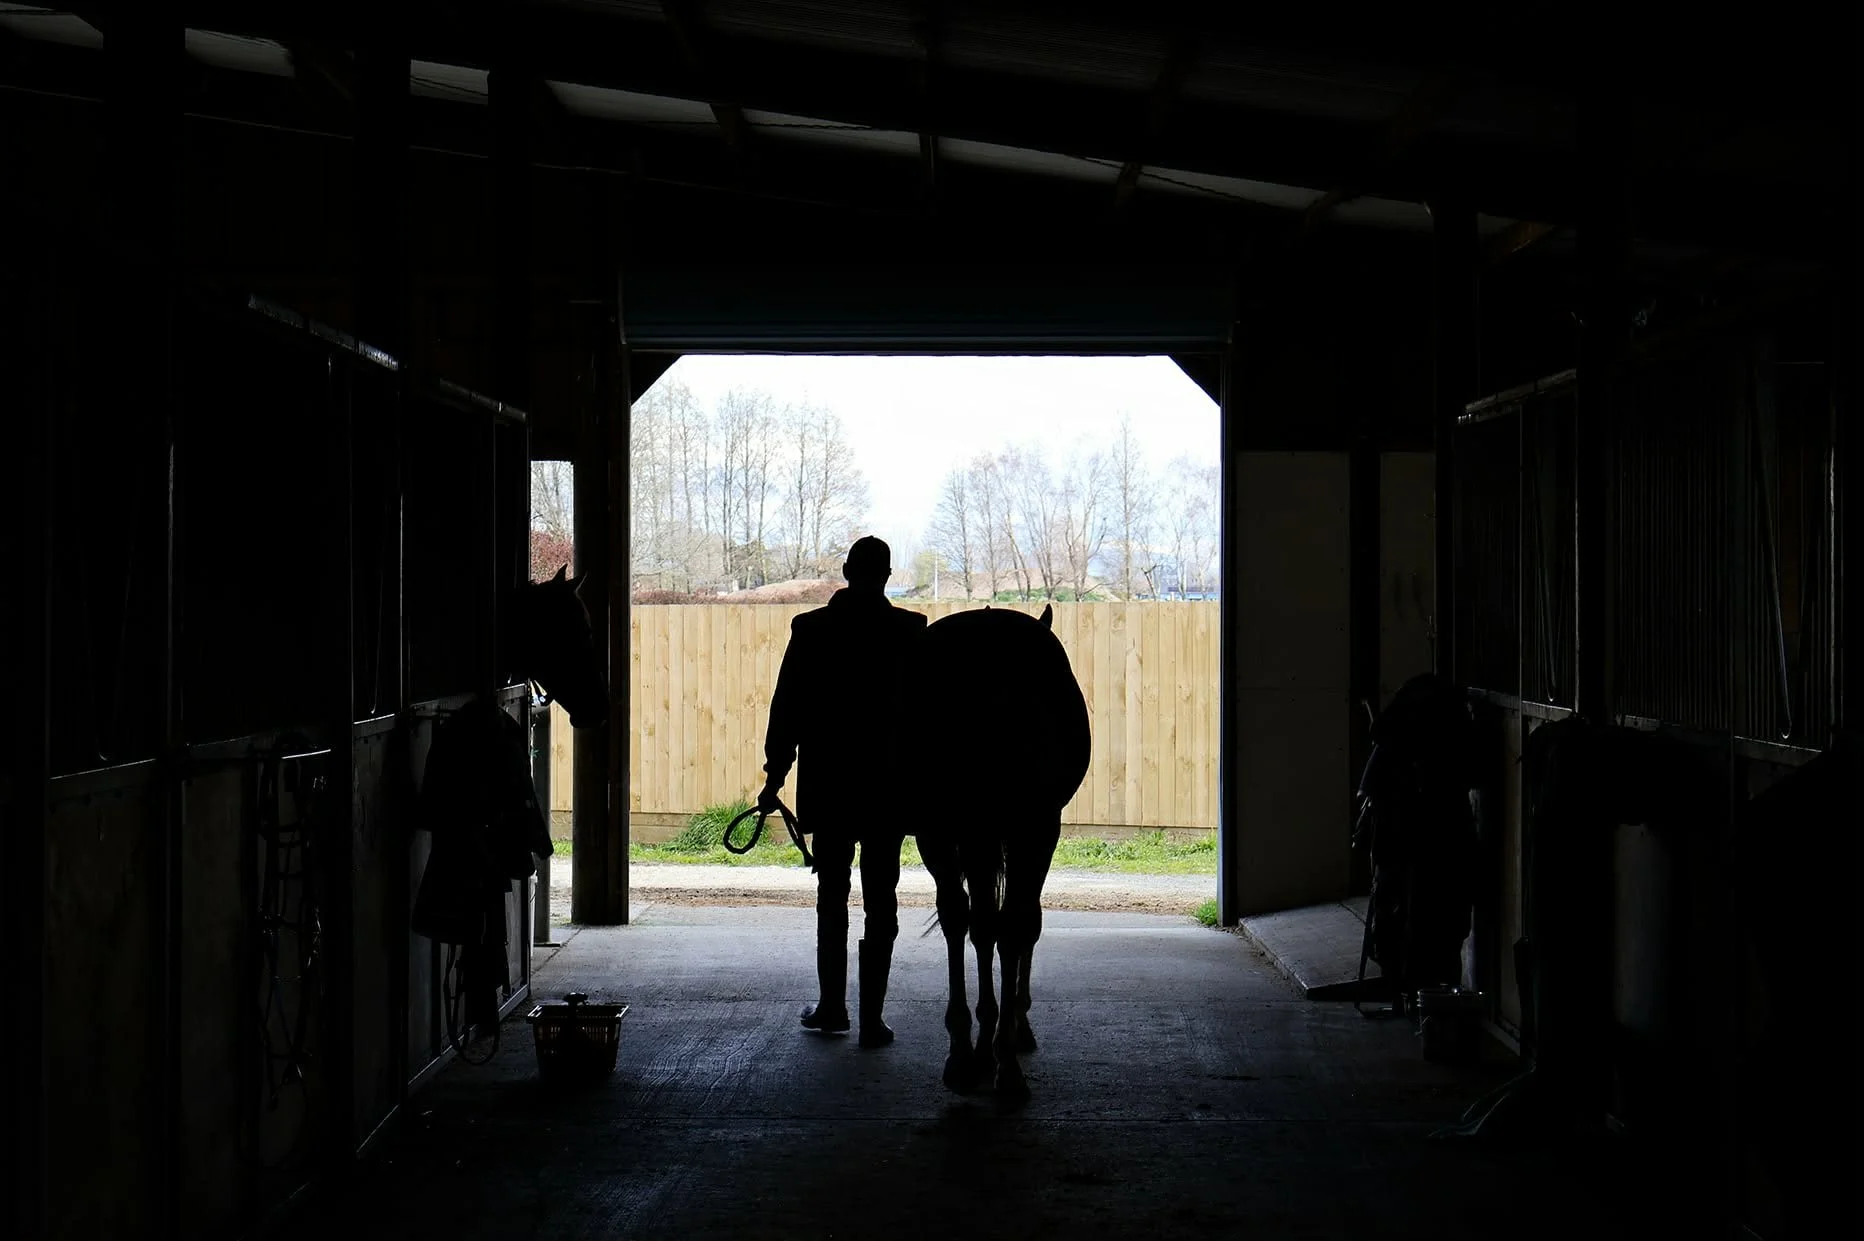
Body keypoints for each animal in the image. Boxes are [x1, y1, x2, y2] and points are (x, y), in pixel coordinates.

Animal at [915, 604, 1091, 1099]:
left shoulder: (1027, 832)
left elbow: (1009, 925)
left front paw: (1000, 1047)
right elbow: (993, 925)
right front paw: (986, 1048)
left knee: (990, 922)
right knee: (976, 921)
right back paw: (978, 1045)